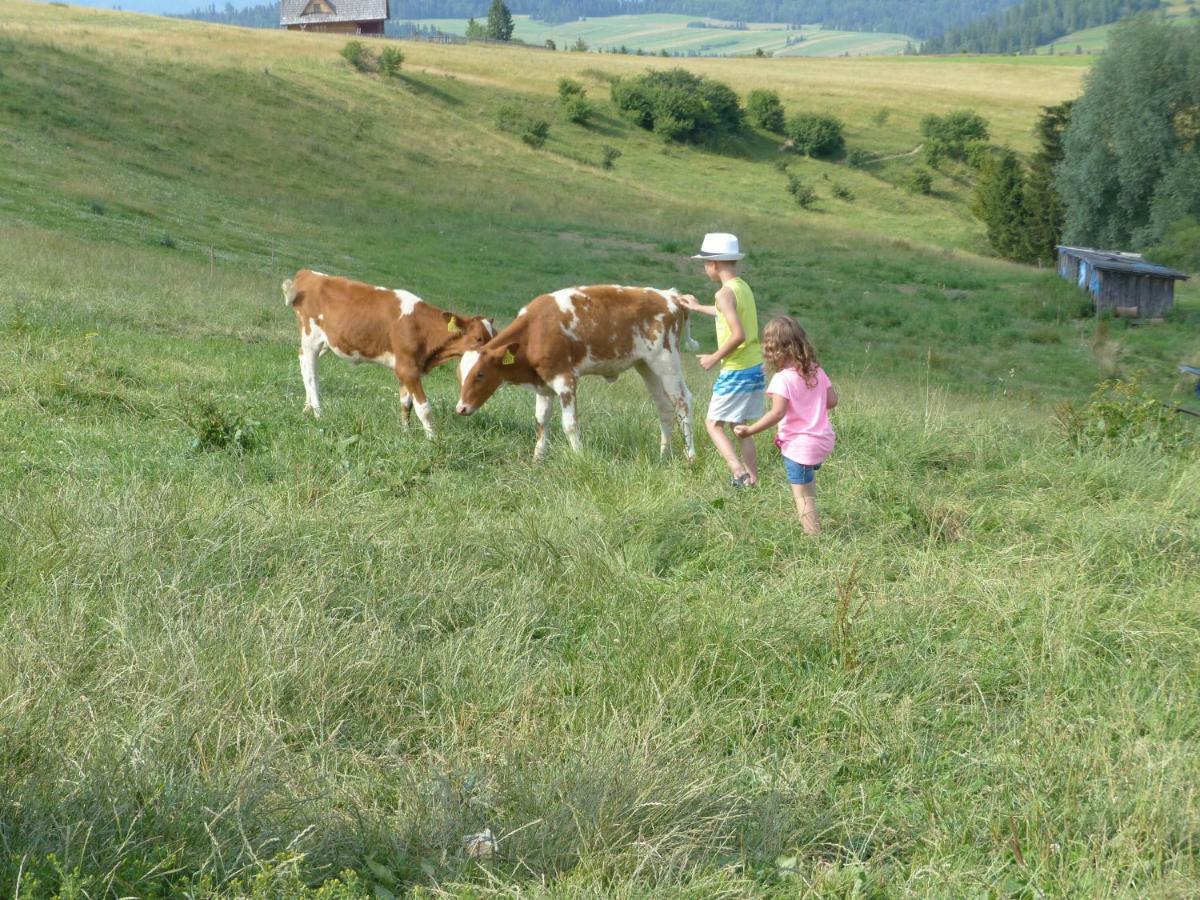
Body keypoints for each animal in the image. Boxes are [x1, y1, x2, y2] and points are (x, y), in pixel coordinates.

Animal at [283, 267, 494, 436]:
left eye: (494, 335)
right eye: (479, 338)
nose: (495, 355)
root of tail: (307, 273)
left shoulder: (411, 368)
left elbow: (406, 404)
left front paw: (406, 433)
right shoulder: (407, 368)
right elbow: (424, 408)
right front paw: (433, 439)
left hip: (327, 342)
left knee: (303, 361)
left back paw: (307, 408)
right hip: (311, 337)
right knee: (312, 375)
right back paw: (319, 413)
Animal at [451, 285, 696, 460]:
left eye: (480, 374)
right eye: (460, 376)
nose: (461, 408)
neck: (535, 330)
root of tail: (670, 296)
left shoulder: (565, 380)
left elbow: (569, 424)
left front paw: (579, 456)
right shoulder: (543, 385)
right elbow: (541, 421)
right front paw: (537, 459)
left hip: (666, 362)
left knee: (682, 403)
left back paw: (690, 456)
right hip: (647, 367)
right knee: (664, 408)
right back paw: (663, 456)